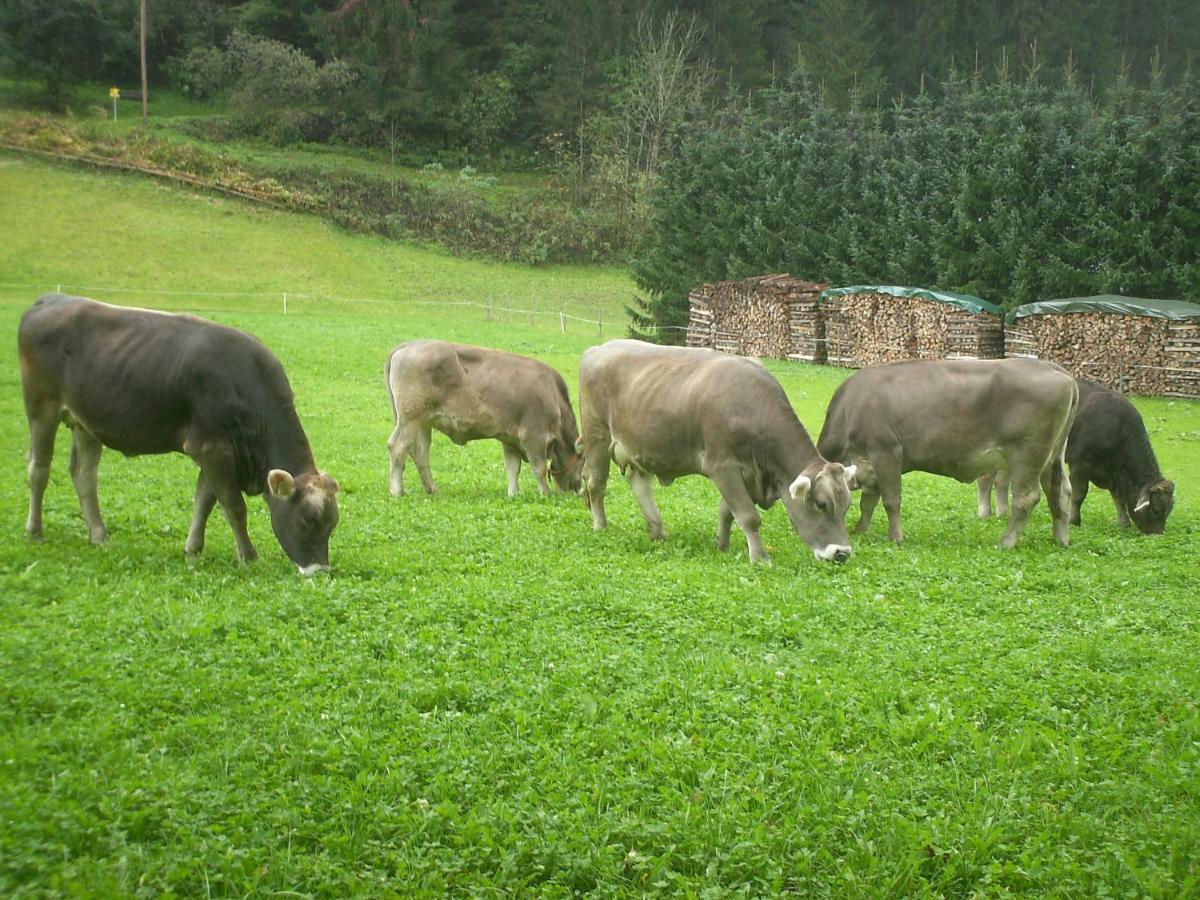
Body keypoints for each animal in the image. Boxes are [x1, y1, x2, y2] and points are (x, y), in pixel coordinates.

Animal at [17, 296, 343, 578]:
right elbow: (233, 505)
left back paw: (99, 535)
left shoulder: (216, 450)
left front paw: (193, 548)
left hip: (85, 422)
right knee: (39, 469)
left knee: (84, 475)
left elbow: (204, 500)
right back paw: (35, 531)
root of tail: (51, 299)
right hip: (41, 407)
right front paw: (249, 557)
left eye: (332, 525)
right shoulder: (211, 447)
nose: (320, 570)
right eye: (307, 520)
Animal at [384, 340, 580, 501]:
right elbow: (539, 467)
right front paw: (545, 494)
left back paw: (432, 489)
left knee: (420, 453)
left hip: (423, 422)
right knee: (398, 447)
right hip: (410, 419)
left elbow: (512, 468)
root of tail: (408, 345)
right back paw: (396, 491)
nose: (578, 491)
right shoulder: (534, 435)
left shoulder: (510, 439)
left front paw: (513, 494)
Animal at [578, 340, 854, 564]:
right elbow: (748, 515)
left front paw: (722, 545)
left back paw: (658, 530)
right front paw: (760, 558)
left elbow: (727, 512)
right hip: (597, 436)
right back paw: (601, 526)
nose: (841, 553)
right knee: (596, 484)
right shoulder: (722, 466)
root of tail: (598, 348)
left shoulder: (744, 473)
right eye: (821, 504)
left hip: (637, 447)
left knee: (639, 484)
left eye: (847, 505)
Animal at [816, 360, 1080, 549]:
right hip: (1052, 456)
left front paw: (896, 537)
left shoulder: (886, 452)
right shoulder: (868, 465)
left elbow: (891, 500)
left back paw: (1006, 542)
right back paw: (1061, 539)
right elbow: (868, 502)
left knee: (1026, 498)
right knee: (1060, 492)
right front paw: (860, 530)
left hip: (1029, 453)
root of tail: (1055, 369)